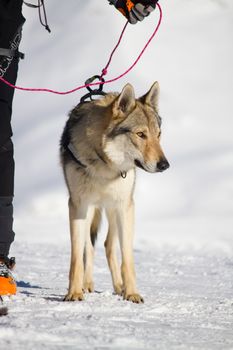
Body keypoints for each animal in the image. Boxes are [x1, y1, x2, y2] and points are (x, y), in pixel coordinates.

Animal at [60, 82, 169, 304]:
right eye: (140, 134)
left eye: (158, 134)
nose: (164, 165)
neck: (106, 167)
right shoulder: (77, 205)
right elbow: (76, 256)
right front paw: (73, 292)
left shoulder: (125, 206)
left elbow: (127, 258)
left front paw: (132, 293)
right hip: (91, 210)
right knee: (89, 247)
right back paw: (86, 284)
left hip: (113, 210)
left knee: (109, 245)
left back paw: (119, 286)